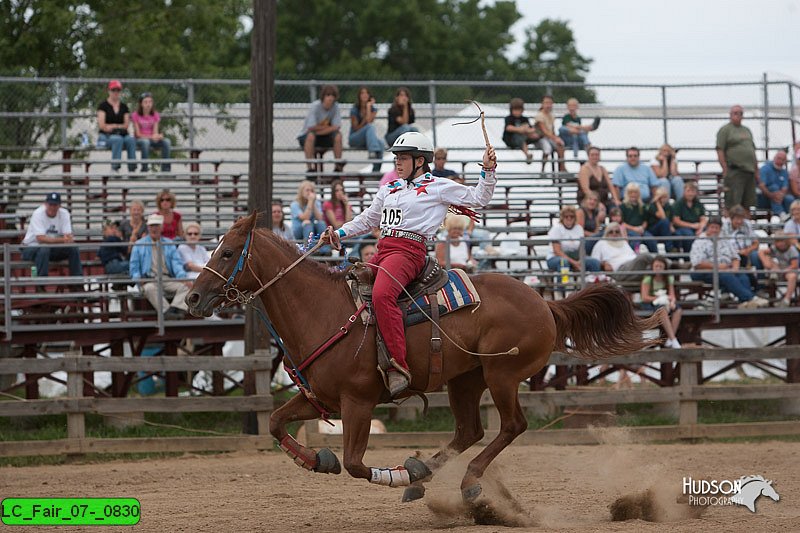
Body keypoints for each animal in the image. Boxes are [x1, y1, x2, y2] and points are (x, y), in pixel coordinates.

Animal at [188, 212, 664, 512]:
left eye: (228, 252)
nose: (192, 297)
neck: (322, 310)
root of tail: (546, 303)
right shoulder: (320, 399)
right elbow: (274, 423)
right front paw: (316, 460)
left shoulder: (359, 402)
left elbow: (356, 464)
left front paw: (396, 475)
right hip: (465, 380)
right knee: (469, 430)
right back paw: (425, 472)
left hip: (502, 375)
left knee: (511, 426)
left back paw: (462, 481)